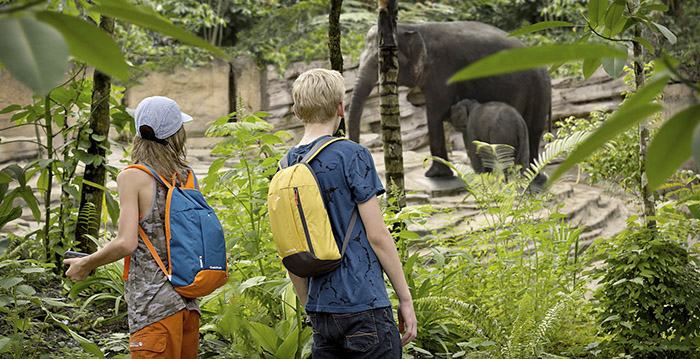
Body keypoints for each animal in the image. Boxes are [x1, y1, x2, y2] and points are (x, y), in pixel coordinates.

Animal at [348, 20, 548, 178]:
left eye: (379, 61)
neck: (414, 27)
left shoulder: (442, 72)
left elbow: (435, 112)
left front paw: (435, 175)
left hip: (538, 89)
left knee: (534, 129)